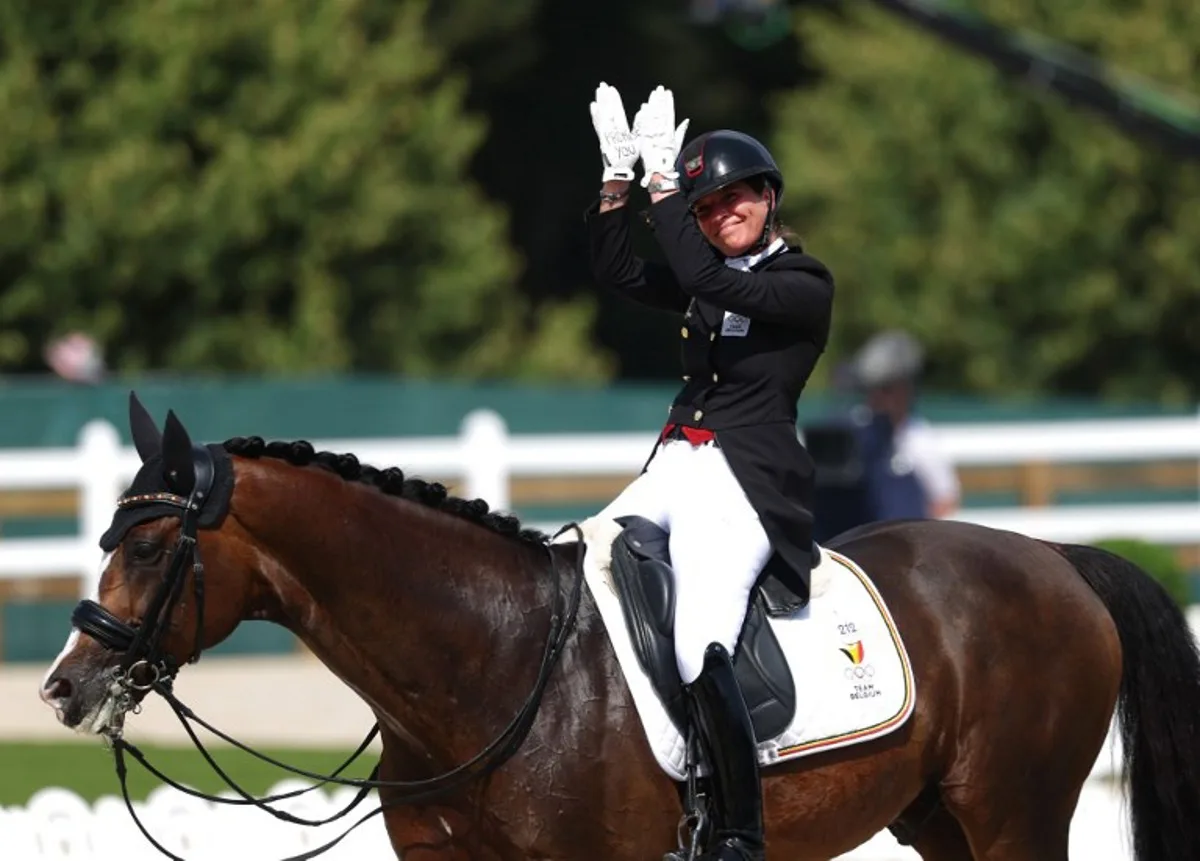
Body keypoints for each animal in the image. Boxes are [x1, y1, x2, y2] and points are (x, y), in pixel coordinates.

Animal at [37, 395, 1200, 861]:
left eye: (152, 547)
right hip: (939, 820)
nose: (64, 686)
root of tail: (1056, 558)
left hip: (1014, 815)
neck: (490, 662)